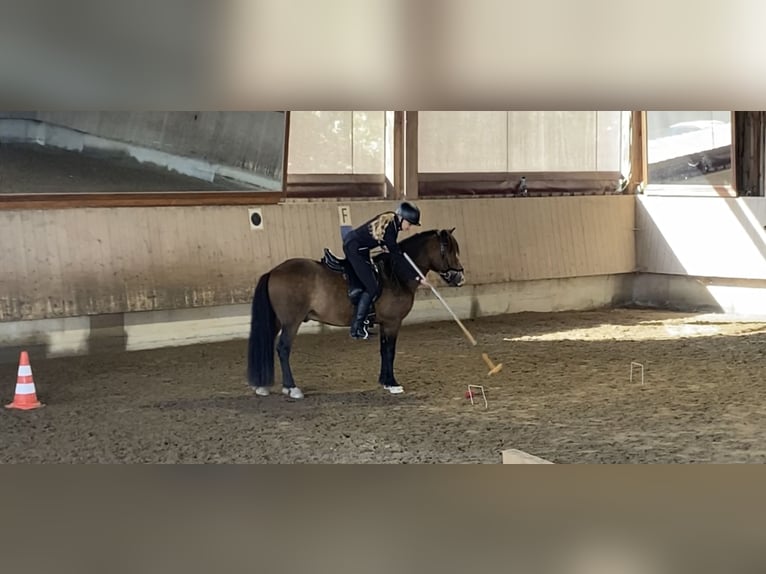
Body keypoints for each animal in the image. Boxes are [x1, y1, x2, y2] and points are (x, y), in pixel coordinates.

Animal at [246, 228, 465, 399]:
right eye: (448, 249)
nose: (459, 278)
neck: (394, 274)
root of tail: (274, 271)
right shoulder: (393, 323)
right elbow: (390, 351)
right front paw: (393, 383)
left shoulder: (384, 324)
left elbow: (383, 351)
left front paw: (385, 381)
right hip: (291, 322)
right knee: (283, 349)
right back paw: (292, 388)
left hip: (276, 322)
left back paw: (262, 386)